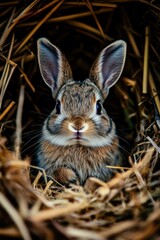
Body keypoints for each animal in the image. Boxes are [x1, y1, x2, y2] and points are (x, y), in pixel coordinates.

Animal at [36, 37, 126, 190]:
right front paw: (71, 178)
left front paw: (88, 186)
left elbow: (97, 179)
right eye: (58, 106)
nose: (77, 125)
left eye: (99, 106)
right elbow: (57, 172)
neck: (78, 146)